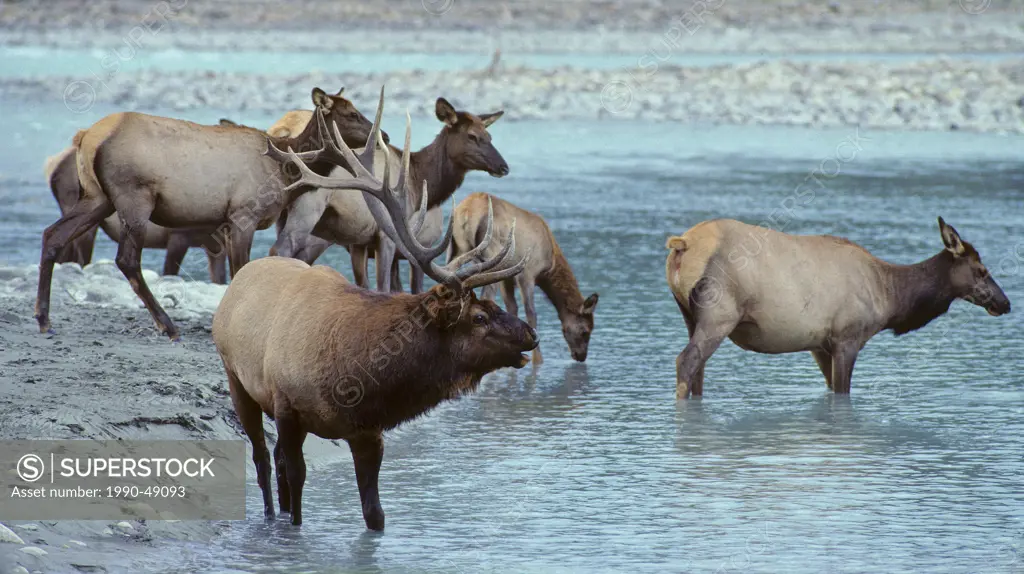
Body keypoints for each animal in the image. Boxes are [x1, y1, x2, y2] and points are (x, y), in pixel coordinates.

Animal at [35, 84, 385, 339]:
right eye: (351, 113)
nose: (384, 136)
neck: (285, 171)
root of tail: (86, 138)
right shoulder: (243, 215)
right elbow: (240, 270)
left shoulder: (226, 225)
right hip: (134, 197)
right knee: (126, 259)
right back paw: (167, 325)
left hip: (97, 197)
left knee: (53, 234)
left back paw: (43, 318)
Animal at [272, 96, 507, 292]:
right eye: (472, 136)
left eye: (489, 136)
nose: (503, 166)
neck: (418, 181)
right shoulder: (388, 236)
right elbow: (388, 287)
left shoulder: (359, 243)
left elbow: (366, 286)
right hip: (308, 212)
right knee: (281, 249)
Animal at [450, 192, 598, 362]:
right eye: (585, 331)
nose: (581, 356)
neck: (550, 264)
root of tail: (466, 213)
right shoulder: (527, 273)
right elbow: (531, 313)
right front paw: (537, 360)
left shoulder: (507, 278)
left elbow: (512, 307)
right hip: (489, 255)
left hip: (455, 250)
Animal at [667, 216, 1011, 396]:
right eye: (982, 270)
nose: (1004, 302)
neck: (890, 296)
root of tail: (683, 244)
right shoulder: (848, 337)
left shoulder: (820, 345)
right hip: (720, 315)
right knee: (686, 360)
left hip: (689, 316)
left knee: (698, 368)